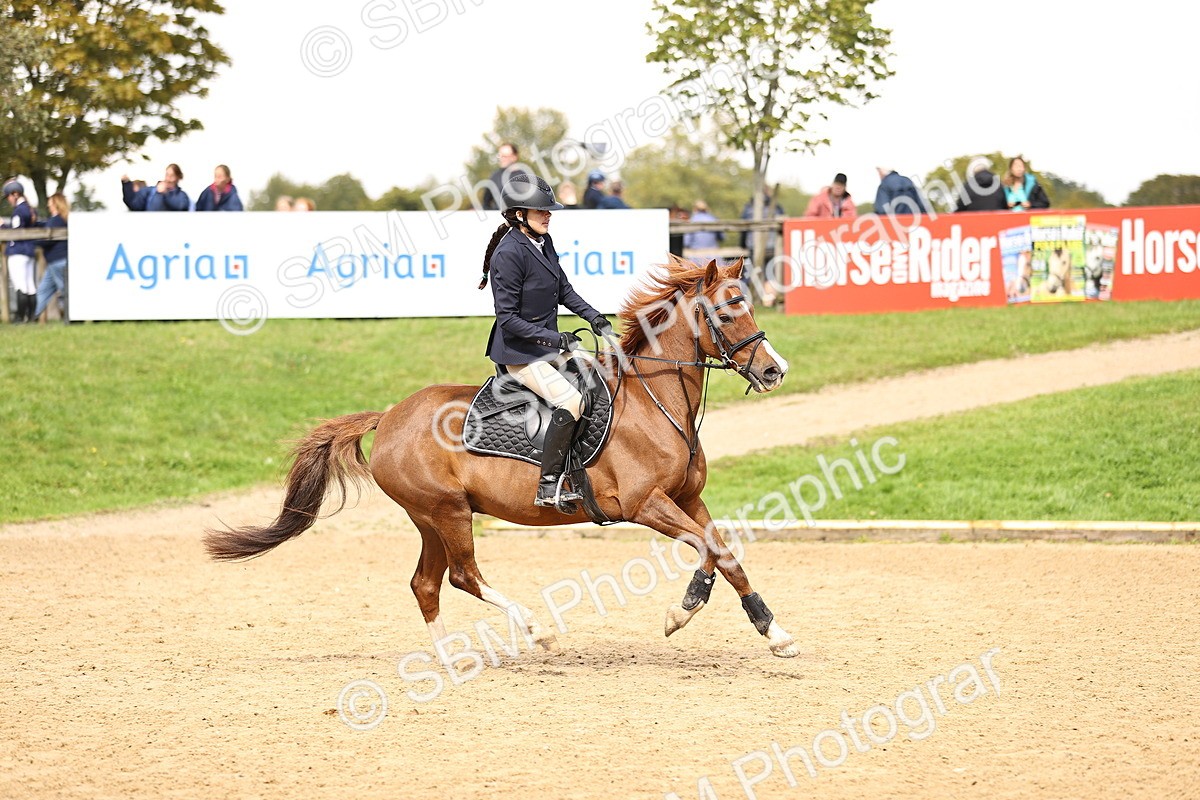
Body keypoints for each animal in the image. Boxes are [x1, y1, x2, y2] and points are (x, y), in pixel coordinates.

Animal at [204, 257, 800, 659]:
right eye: (728, 309)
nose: (775, 370)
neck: (655, 401)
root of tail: (390, 415)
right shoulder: (645, 504)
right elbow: (709, 552)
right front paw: (682, 611)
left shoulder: (687, 499)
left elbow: (726, 552)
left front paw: (774, 633)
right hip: (446, 511)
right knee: (463, 576)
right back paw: (536, 629)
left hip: (431, 518)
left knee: (426, 584)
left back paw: (448, 659)